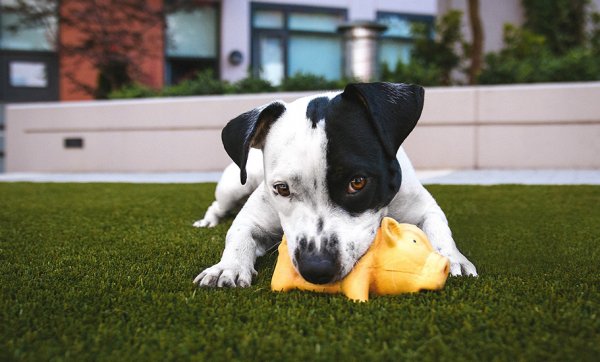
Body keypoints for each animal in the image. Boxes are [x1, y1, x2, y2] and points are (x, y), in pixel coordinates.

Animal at [195, 82, 476, 288]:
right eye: (282, 188)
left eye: (358, 182)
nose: (316, 268)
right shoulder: (253, 218)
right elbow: (238, 235)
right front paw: (227, 267)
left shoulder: (423, 207)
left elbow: (439, 229)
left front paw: (452, 258)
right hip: (234, 186)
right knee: (217, 205)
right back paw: (207, 222)